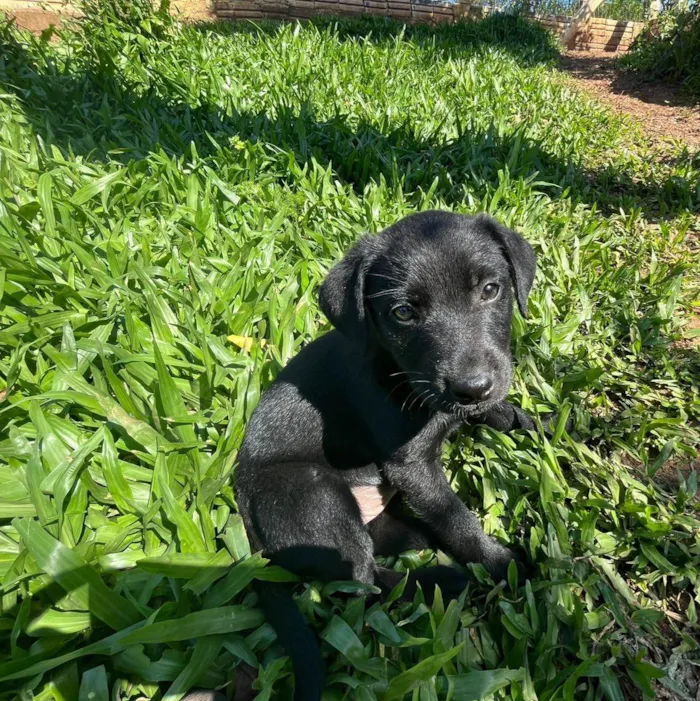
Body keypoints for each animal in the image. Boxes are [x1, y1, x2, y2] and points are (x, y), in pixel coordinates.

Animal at [228, 211, 536, 700]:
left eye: (491, 289)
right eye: (403, 312)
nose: (471, 387)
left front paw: (520, 418)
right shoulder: (410, 464)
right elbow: (456, 517)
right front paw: (498, 564)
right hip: (317, 498)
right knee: (362, 583)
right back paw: (448, 581)